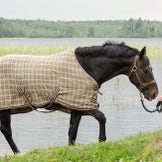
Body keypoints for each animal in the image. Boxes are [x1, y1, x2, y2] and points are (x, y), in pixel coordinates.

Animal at [0, 40, 158, 153]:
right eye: (146, 69)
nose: (155, 93)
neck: (88, 68)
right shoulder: (85, 104)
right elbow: (102, 118)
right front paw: (101, 140)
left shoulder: (77, 107)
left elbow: (72, 133)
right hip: (5, 109)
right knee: (7, 131)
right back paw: (17, 153)